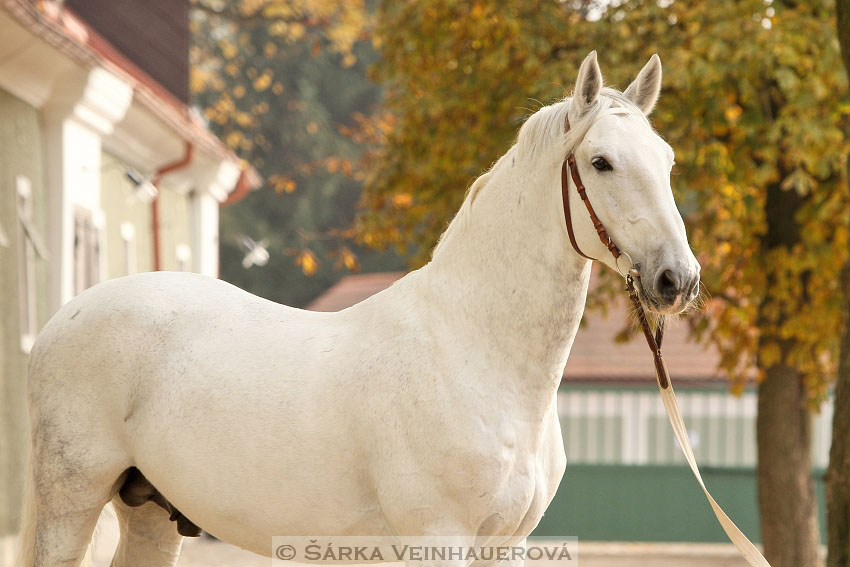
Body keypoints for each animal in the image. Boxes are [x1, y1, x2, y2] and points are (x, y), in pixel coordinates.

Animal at [18, 51, 696, 564]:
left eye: (666, 159)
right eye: (600, 162)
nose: (677, 279)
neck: (475, 356)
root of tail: (63, 319)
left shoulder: (503, 546)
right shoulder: (438, 539)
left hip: (151, 514)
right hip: (71, 502)